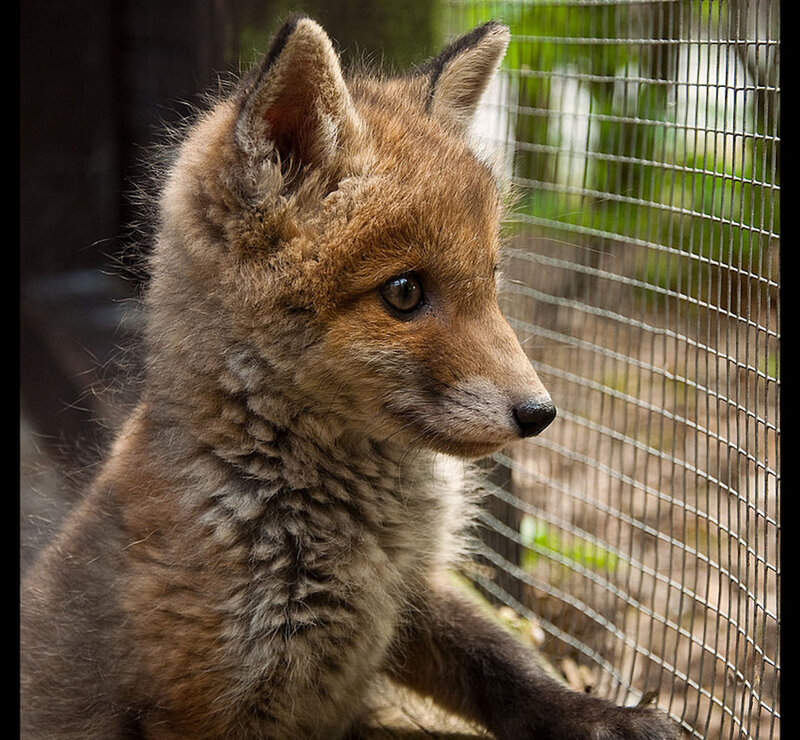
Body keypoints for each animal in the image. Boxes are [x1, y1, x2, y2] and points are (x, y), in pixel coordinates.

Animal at [20, 15, 680, 740]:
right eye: (404, 292)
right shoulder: (202, 700)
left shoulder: (409, 594)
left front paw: (599, 715)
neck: (362, 535)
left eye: (492, 277)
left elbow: (505, 665)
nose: (539, 413)